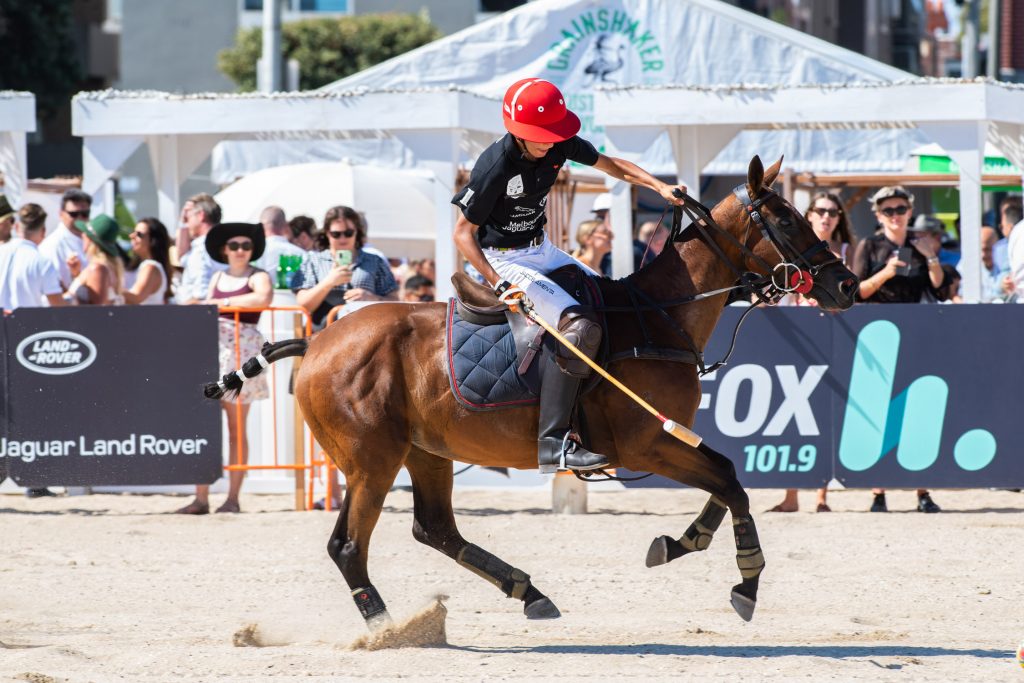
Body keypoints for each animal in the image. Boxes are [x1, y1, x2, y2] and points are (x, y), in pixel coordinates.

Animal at [205, 154, 856, 630]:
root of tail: (317, 342)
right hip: (372, 459)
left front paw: (678, 542)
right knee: (347, 546)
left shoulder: (666, 442)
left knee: (435, 529)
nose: (847, 284)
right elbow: (730, 483)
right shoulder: (645, 444)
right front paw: (745, 583)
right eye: (787, 220)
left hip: (426, 451)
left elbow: (726, 478)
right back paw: (385, 626)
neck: (658, 316)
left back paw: (527, 591)